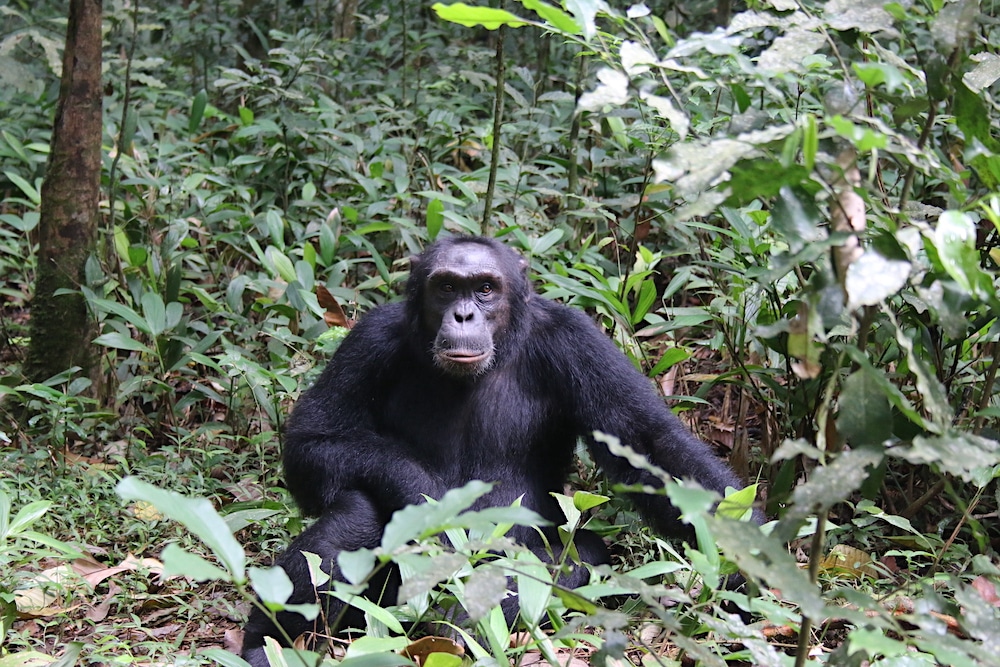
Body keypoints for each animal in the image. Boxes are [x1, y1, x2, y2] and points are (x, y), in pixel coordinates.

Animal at [240, 236, 756, 664]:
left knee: (576, 559)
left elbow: (646, 442)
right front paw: (429, 500)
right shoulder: (370, 339)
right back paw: (267, 648)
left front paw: (748, 560)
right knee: (357, 513)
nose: (464, 314)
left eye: (485, 289)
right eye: (447, 287)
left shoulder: (577, 340)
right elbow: (314, 441)